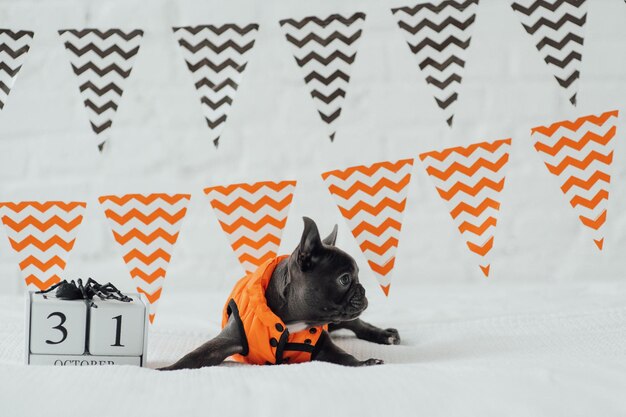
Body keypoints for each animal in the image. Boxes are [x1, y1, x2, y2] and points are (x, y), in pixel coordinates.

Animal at [158, 216, 398, 368]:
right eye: (345, 278)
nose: (362, 289)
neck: (293, 320)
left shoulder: (323, 344)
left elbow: (344, 356)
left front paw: (365, 362)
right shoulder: (226, 341)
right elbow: (194, 356)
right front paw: (165, 370)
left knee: (357, 323)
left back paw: (385, 335)